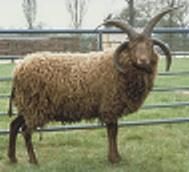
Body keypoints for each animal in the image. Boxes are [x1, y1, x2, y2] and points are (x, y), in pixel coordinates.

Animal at [7, 7, 176, 165]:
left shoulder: (112, 107)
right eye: (132, 46)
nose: (143, 60)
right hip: (34, 107)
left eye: (150, 45)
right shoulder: (110, 105)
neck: (119, 68)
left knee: (14, 125)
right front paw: (113, 159)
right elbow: (112, 131)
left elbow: (114, 131)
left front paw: (117, 157)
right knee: (26, 131)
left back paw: (13, 158)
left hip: (27, 106)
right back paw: (33, 160)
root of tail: (19, 68)